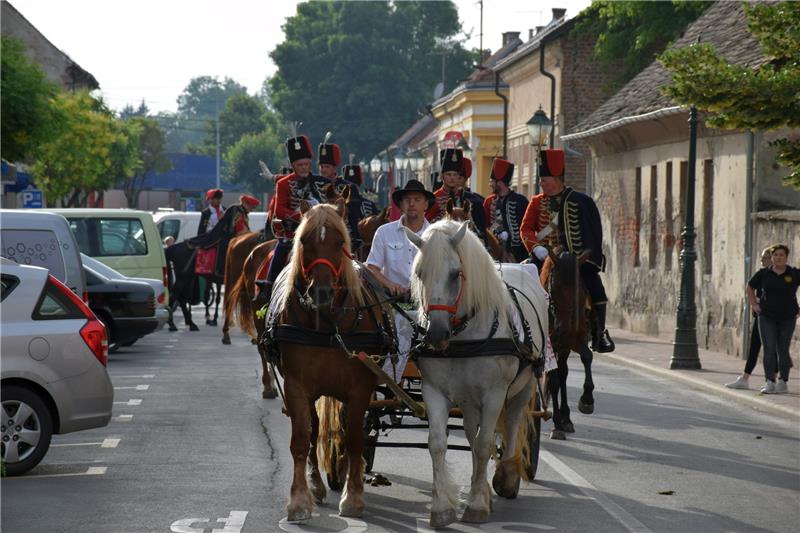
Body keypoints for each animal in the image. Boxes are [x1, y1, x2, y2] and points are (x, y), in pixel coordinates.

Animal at [262, 201, 394, 520]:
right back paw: (317, 484)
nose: (321, 291)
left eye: (340, 242)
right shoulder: (297, 386)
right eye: (304, 241)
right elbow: (301, 439)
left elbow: (355, 438)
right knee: (314, 430)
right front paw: (299, 499)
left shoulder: (359, 389)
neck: (328, 325)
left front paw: (353, 497)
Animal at [406, 219, 552, 528]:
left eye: (455, 273)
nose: (436, 334)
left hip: (522, 387)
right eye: (420, 273)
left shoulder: (495, 393)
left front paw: (476, 505)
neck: (465, 336)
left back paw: (506, 477)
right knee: (472, 434)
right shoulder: (433, 391)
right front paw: (443, 507)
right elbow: (439, 444)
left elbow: (485, 444)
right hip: (469, 399)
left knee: (512, 422)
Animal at [536, 249, 592, 440]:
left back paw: (567, 418)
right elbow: (553, 381)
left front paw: (587, 399)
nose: (563, 328)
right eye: (554, 287)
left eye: (578, 289)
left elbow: (587, 357)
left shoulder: (575, 340)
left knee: (563, 374)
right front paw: (557, 424)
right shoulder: (551, 345)